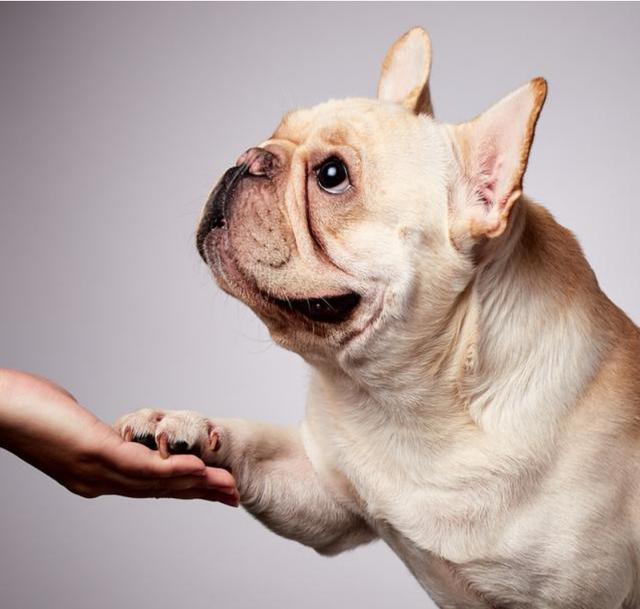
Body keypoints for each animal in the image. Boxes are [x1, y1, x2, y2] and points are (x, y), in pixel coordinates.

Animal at [116, 28, 640, 608]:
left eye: (332, 175)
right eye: (275, 132)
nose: (249, 157)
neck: (415, 400)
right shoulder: (321, 493)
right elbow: (254, 444)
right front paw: (183, 424)